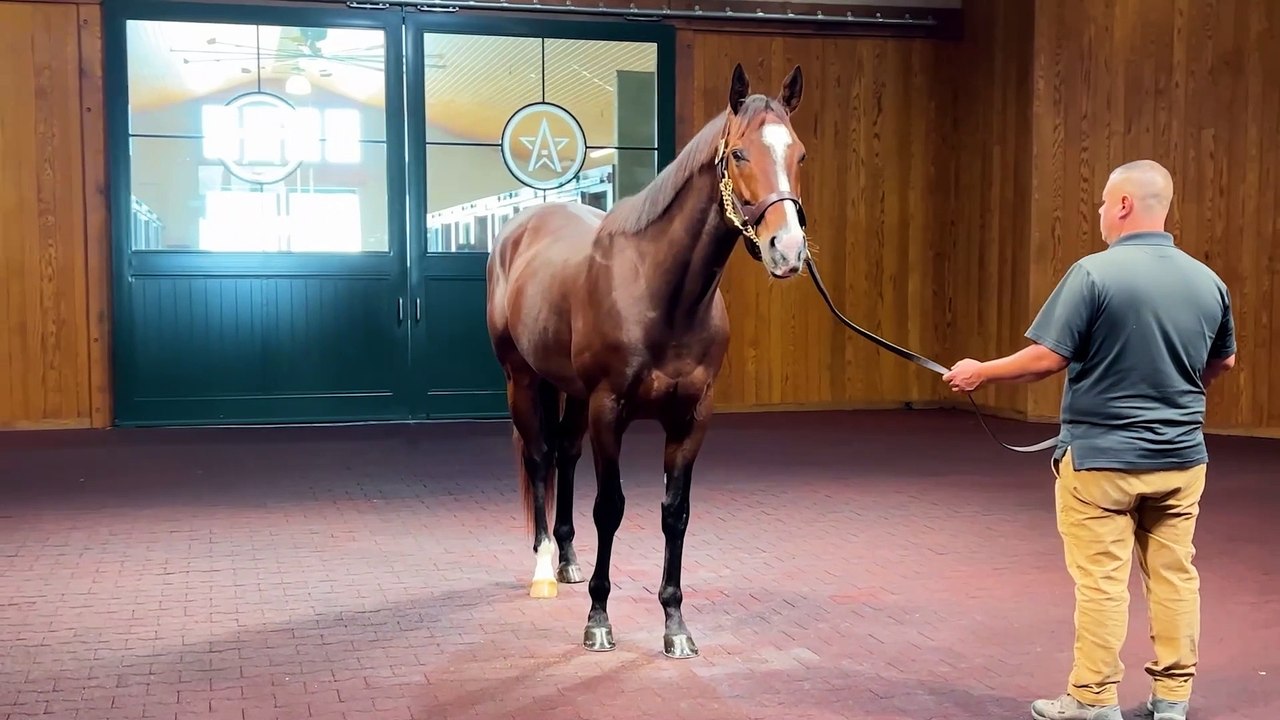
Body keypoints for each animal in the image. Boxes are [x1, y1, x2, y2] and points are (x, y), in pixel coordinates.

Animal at [485, 62, 809, 658]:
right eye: (739, 154)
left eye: (798, 154)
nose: (788, 250)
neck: (662, 293)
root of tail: (520, 229)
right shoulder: (609, 409)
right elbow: (609, 508)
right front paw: (598, 620)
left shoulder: (691, 417)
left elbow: (675, 513)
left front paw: (675, 626)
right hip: (523, 379)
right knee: (540, 459)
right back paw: (544, 568)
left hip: (572, 394)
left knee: (565, 455)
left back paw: (567, 560)